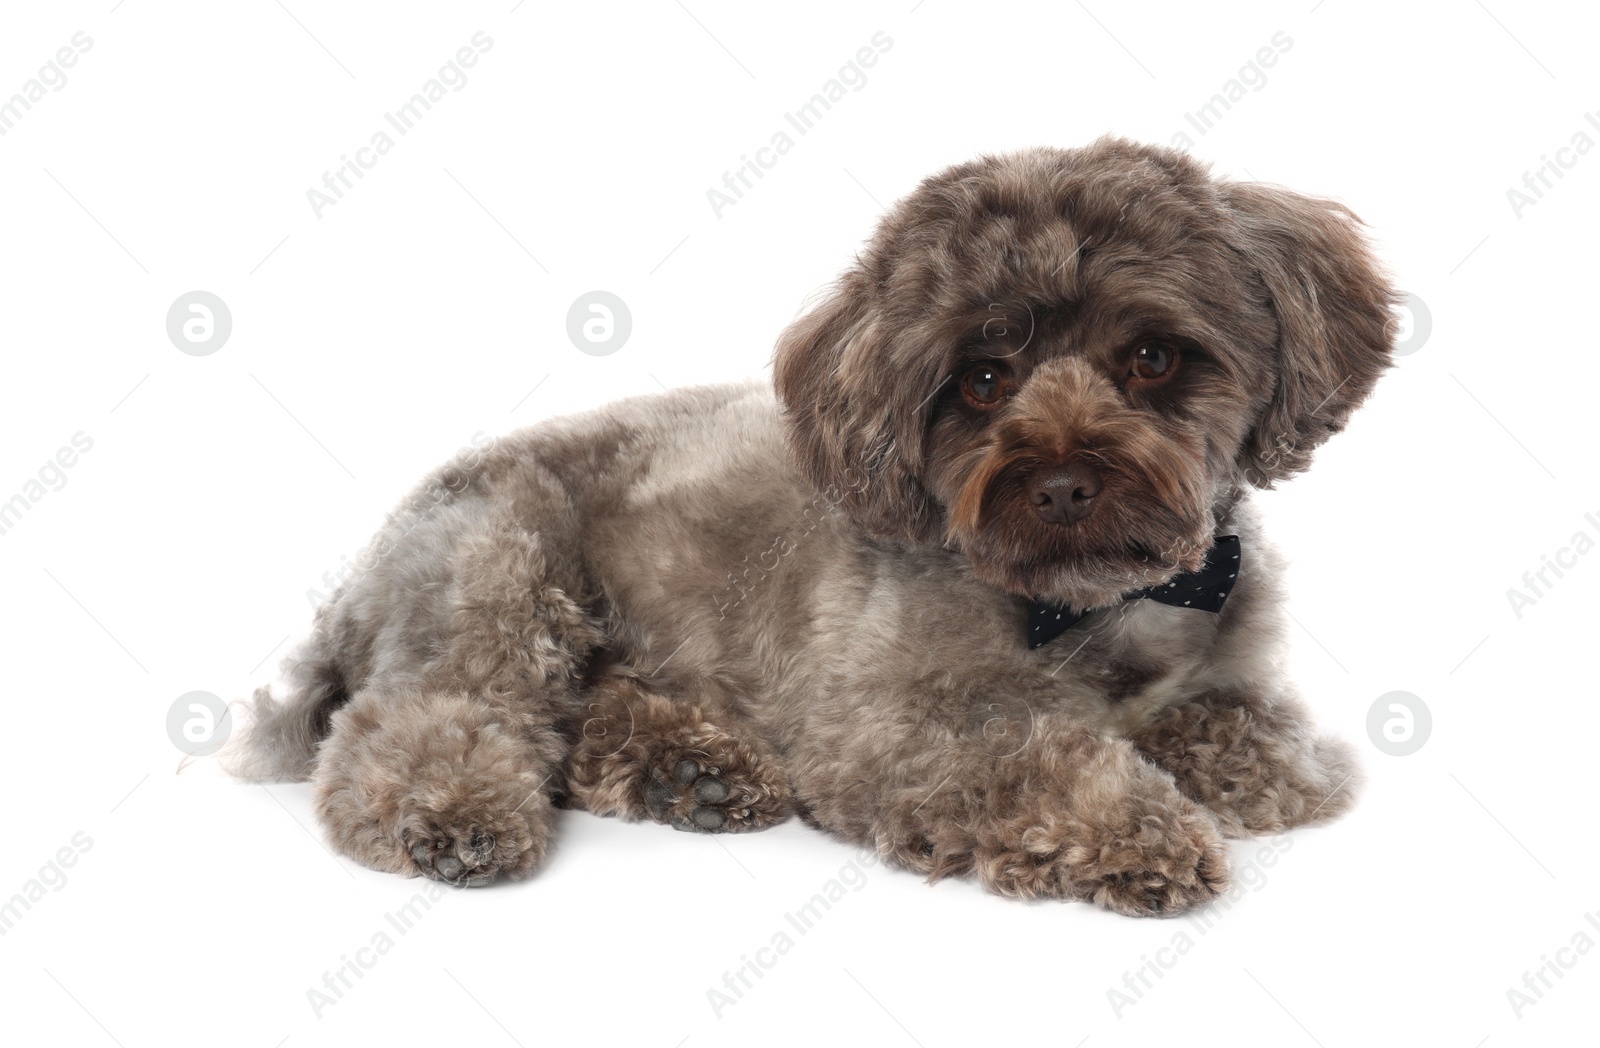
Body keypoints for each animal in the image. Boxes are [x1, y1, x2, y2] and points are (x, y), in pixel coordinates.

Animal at [228, 137, 1401, 921]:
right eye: (981, 380)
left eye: (1153, 357)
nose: (1064, 483)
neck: (1091, 606)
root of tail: (357, 580)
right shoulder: (884, 728)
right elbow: (1037, 754)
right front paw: (1134, 828)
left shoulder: (1243, 689)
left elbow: (1267, 751)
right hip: (500, 567)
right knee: (423, 720)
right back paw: (461, 811)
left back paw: (688, 771)